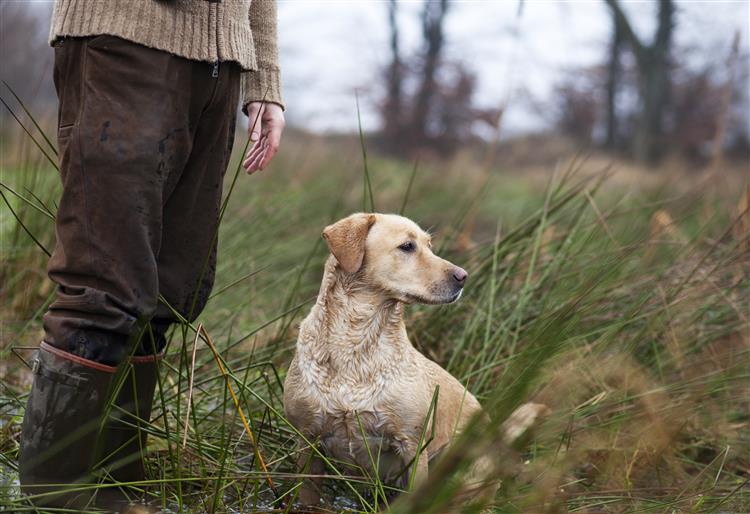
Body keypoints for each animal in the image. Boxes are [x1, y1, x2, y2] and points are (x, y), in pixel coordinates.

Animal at [284, 212, 490, 504]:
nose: (463, 276)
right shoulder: (307, 440)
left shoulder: (413, 446)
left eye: (430, 246)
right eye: (407, 246)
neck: (355, 342)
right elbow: (308, 496)